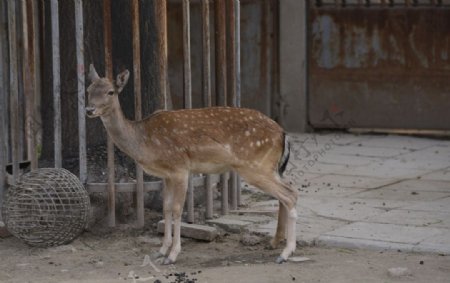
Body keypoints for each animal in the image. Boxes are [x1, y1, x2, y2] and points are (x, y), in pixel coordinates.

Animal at [86, 65, 298, 266]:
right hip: (270, 167)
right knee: (289, 188)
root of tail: (283, 133)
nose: (89, 109)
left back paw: (285, 253)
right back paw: (275, 242)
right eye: (88, 89)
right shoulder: (166, 175)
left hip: (255, 165)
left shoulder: (180, 168)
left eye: (110, 92)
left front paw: (172, 255)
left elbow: (177, 209)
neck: (143, 141)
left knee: (289, 194)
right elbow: (165, 208)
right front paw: (161, 251)